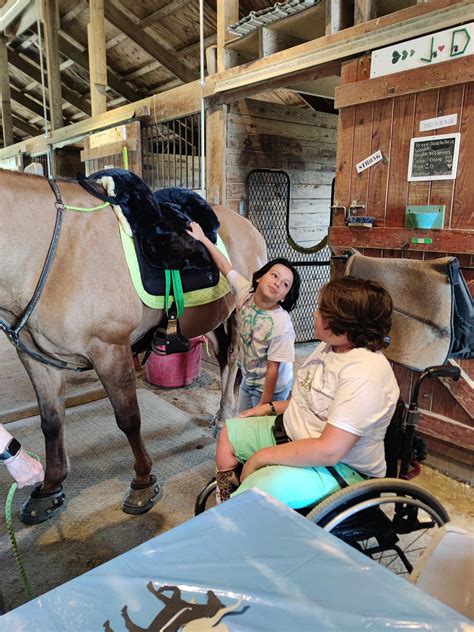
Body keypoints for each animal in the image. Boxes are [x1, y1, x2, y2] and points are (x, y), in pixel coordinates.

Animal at [0, 168, 266, 524]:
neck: (54, 252)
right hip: (210, 319)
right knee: (224, 359)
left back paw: (225, 417)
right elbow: (51, 423)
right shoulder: (38, 359)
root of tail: (248, 226)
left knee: (234, 358)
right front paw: (50, 487)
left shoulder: (110, 350)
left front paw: (142, 482)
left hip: (239, 310)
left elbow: (128, 419)